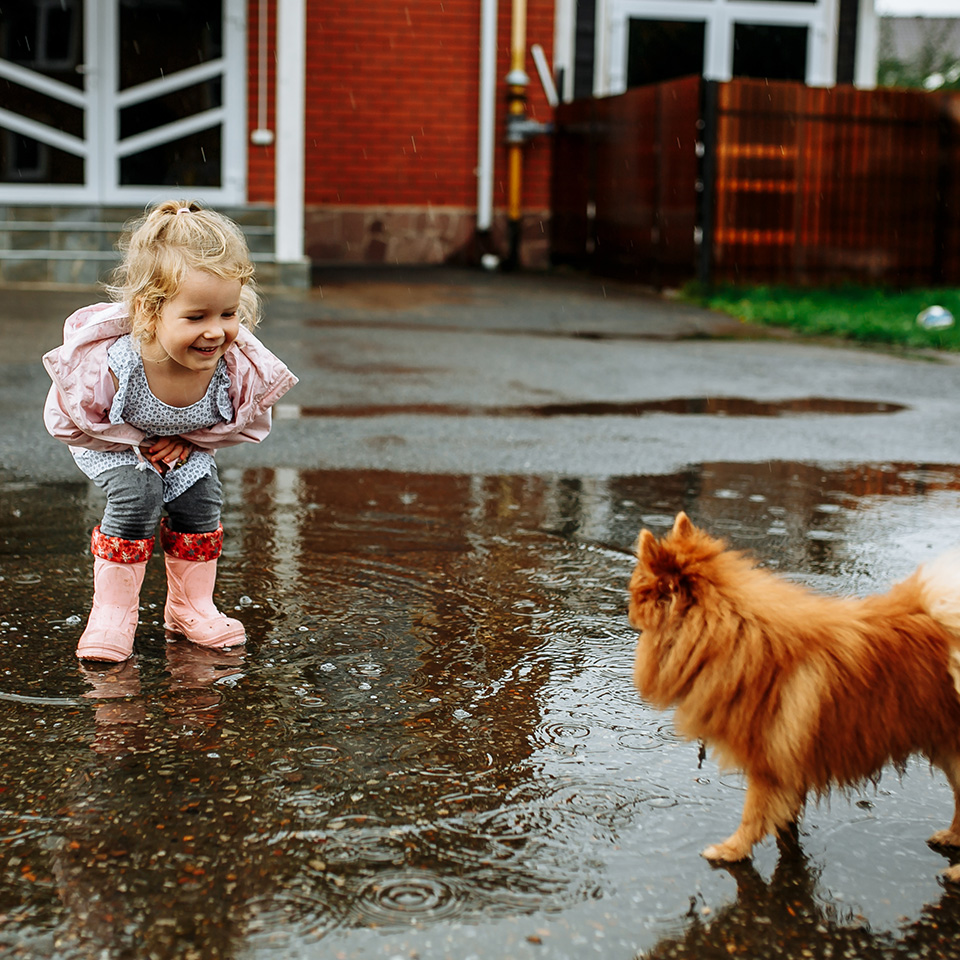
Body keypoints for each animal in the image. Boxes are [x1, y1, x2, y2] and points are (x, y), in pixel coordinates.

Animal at [628, 510, 960, 876]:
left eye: (637, 593)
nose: (628, 611)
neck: (728, 634)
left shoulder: (767, 762)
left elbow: (752, 814)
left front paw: (732, 851)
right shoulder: (790, 762)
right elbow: (786, 812)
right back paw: (952, 837)